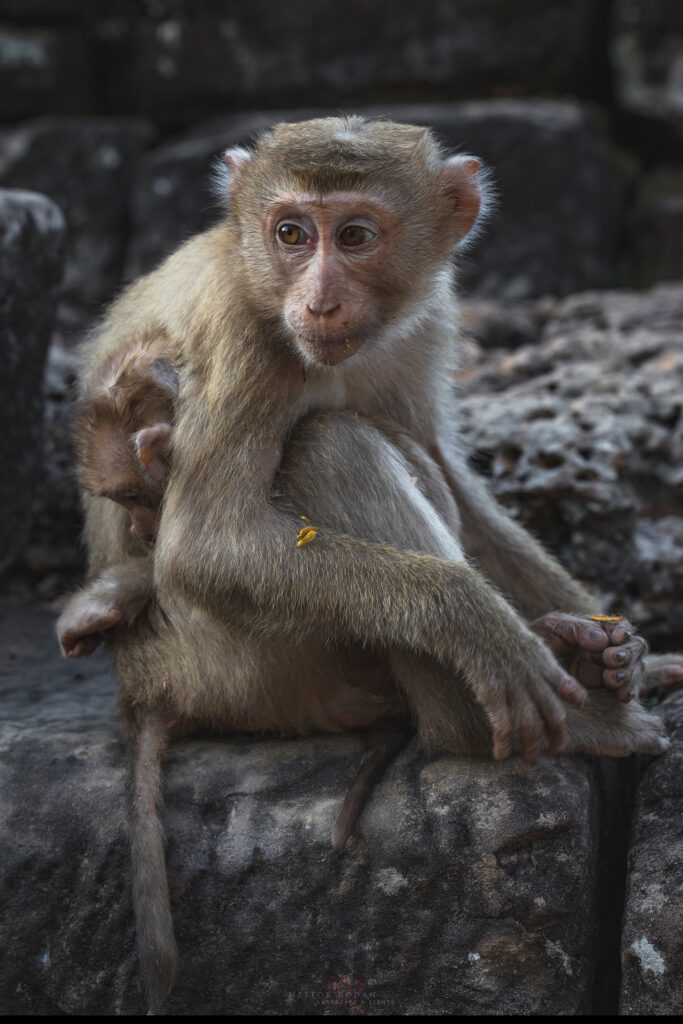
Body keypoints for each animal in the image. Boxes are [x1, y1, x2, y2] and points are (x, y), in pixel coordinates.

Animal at [74, 117, 671, 1008]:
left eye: (354, 237)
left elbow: (446, 466)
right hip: (257, 672)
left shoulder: (423, 318)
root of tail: (150, 684)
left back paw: (586, 667)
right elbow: (210, 545)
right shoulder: (242, 334)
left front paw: (623, 650)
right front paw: (474, 619)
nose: (317, 299)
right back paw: (507, 723)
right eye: (291, 234)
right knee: (331, 442)